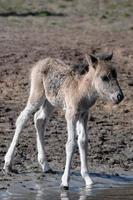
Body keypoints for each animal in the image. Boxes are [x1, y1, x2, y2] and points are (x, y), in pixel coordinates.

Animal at [3, 52, 123, 188]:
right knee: (22, 118)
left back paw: (45, 165)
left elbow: (83, 141)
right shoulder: (70, 115)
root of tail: (40, 62)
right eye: (104, 77)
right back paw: (8, 164)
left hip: (50, 102)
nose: (119, 96)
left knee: (39, 119)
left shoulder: (84, 115)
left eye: (115, 75)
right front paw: (65, 181)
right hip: (37, 96)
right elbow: (70, 144)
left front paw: (88, 179)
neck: (81, 91)